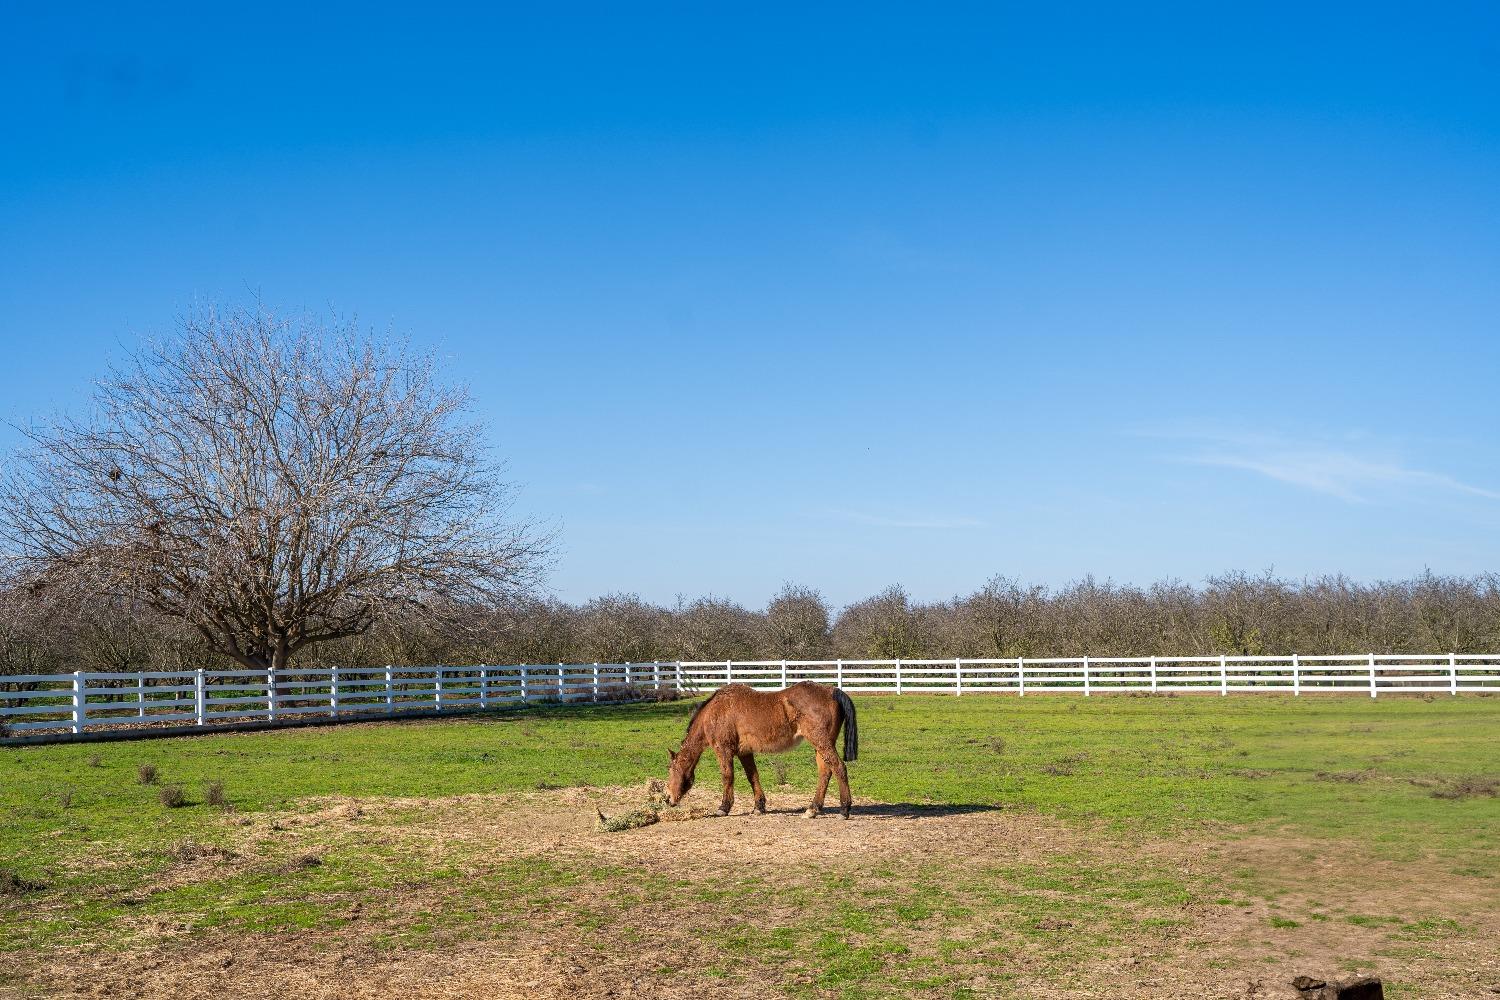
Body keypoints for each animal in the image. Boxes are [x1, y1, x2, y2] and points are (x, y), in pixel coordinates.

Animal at [666, 680, 864, 821]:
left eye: (671, 770)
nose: (668, 799)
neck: (715, 711)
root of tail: (832, 691)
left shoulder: (723, 750)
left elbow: (727, 776)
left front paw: (724, 807)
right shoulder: (744, 753)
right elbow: (753, 776)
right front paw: (759, 806)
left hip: (821, 743)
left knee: (839, 768)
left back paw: (844, 809)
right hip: (820, 746)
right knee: (825, 772)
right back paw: (812, 809)